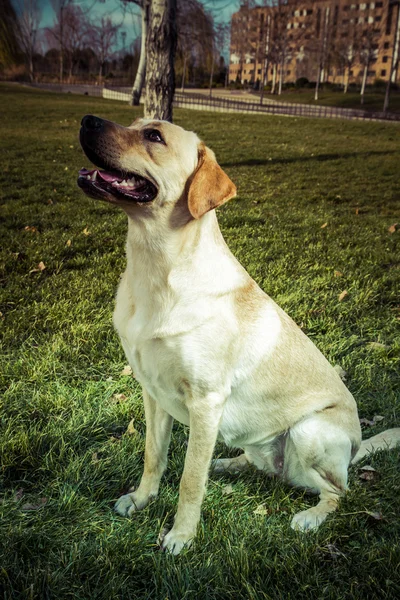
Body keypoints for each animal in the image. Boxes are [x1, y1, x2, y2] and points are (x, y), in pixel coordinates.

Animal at [78, 115, 400, 556]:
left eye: (154, 136)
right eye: (136, 123)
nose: (86, 120)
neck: (155, 266)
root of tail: (354, 451)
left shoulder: (206, 400)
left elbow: (189, 480)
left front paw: (181, 536)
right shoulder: (153, 393)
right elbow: (154, 457)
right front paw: (143, 499)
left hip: (309, 431)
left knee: (339, 493)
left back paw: (310, 516)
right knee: (266, 467)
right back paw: (227, 463)